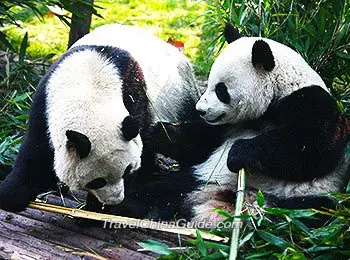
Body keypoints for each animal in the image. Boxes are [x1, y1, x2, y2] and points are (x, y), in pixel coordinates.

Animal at [0, 23, 201, 212]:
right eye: (97, 181)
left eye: (127, 171)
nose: (115, 199)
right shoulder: (44, 102)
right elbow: (35, 151)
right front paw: (11, 194)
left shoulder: (134, 95)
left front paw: (96, 211)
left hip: (180, 96)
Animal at [105, 22, 348, 225]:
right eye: (209, 83)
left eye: (221, 90)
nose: (200, 110)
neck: (279, 90)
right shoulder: (228, 125)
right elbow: (198, 144)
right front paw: (160, 133)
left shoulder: (309, 103)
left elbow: (312, 149)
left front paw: (240, 153)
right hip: (203, 177)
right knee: (165, 190)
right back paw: (121, 205)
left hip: (300, 200)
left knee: (308, 212)